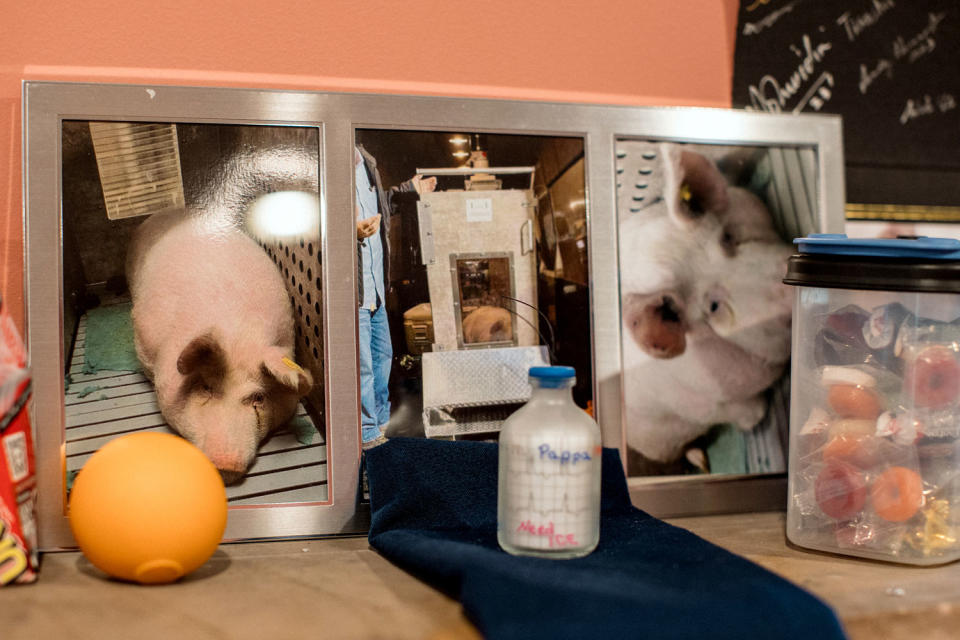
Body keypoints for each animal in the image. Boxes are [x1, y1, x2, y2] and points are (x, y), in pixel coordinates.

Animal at [620, 145, 792, 476]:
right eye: (712, 307)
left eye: (726, 237)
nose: (786, 287)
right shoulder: (708, 402)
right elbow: (750, 414)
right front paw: (760, 415)